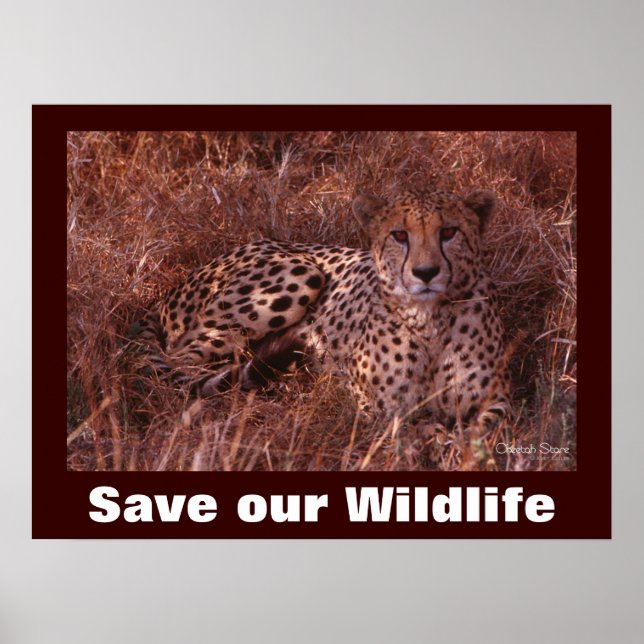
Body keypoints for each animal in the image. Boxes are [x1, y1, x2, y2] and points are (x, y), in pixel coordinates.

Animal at [134, 188, 512, 427]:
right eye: (400, 235)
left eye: (449, 232)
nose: (426, 272)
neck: (429, 319)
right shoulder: (377, 408)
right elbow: (418, 429)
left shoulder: (499, 401)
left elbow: (483, 431)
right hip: (301, 273)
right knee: (180, 362)